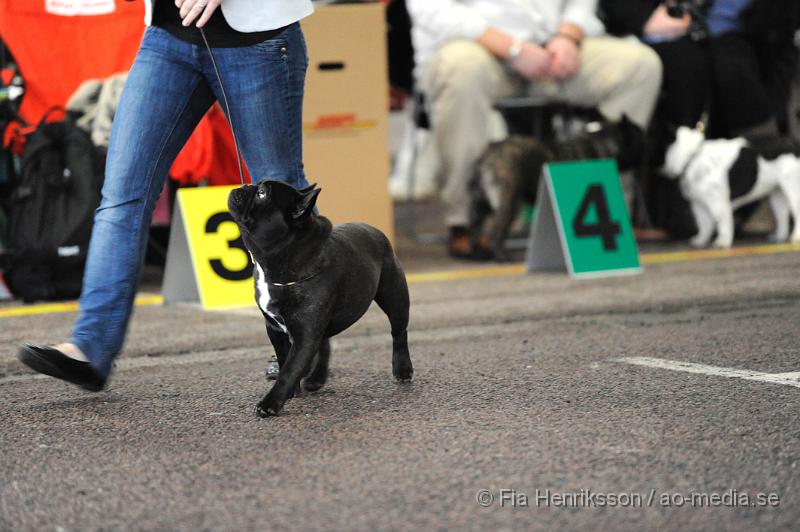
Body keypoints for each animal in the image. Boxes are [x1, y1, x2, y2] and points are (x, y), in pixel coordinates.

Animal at [664, 125, 800, 248]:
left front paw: (723, 241)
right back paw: (779, 237)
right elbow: (704, 224)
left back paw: (795, 237)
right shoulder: (698, 204)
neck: (692, 155)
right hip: (777, 192)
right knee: (781, 214)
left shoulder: (718, 202)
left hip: (792, 187)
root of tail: (793, 143)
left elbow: (722, 222)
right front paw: (701, 240)